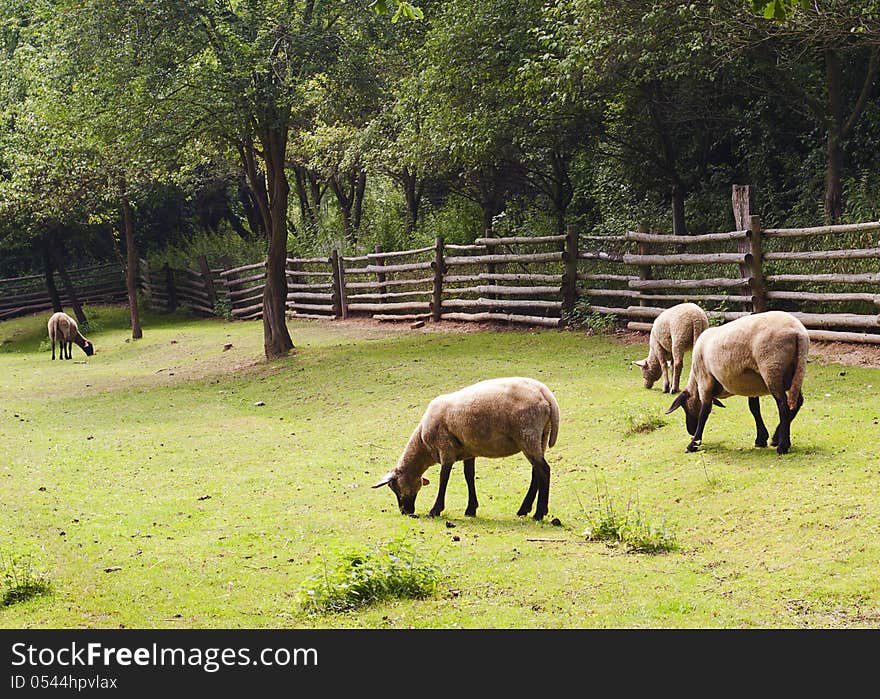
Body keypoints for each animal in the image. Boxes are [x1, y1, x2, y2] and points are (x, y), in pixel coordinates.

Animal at [370, 378, 560, 520]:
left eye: (395, 488)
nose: (405, 512)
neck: (423, 445)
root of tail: (545, 393)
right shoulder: (469, 451)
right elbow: (469, 476)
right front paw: (471, 509)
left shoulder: (445, 449)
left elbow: (444, 478)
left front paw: (435, 510)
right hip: (540, 437)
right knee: (536, 472)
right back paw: (524, 510)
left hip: (527, 434)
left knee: (544, 470)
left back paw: (539, 513)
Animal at [664, 310, 808, 454]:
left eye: (685, 407)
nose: (690, 430)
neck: (695, 380)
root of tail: (798, 332)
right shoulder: (751, 385)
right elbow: (754, 408)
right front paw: (761, 439)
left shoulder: (705, 381)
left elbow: (704, 413)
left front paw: (693, 444)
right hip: (794, 373)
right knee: (796, 402)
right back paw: (778, 439)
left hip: (772, 370)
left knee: (783, 405)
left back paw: (782, 446)